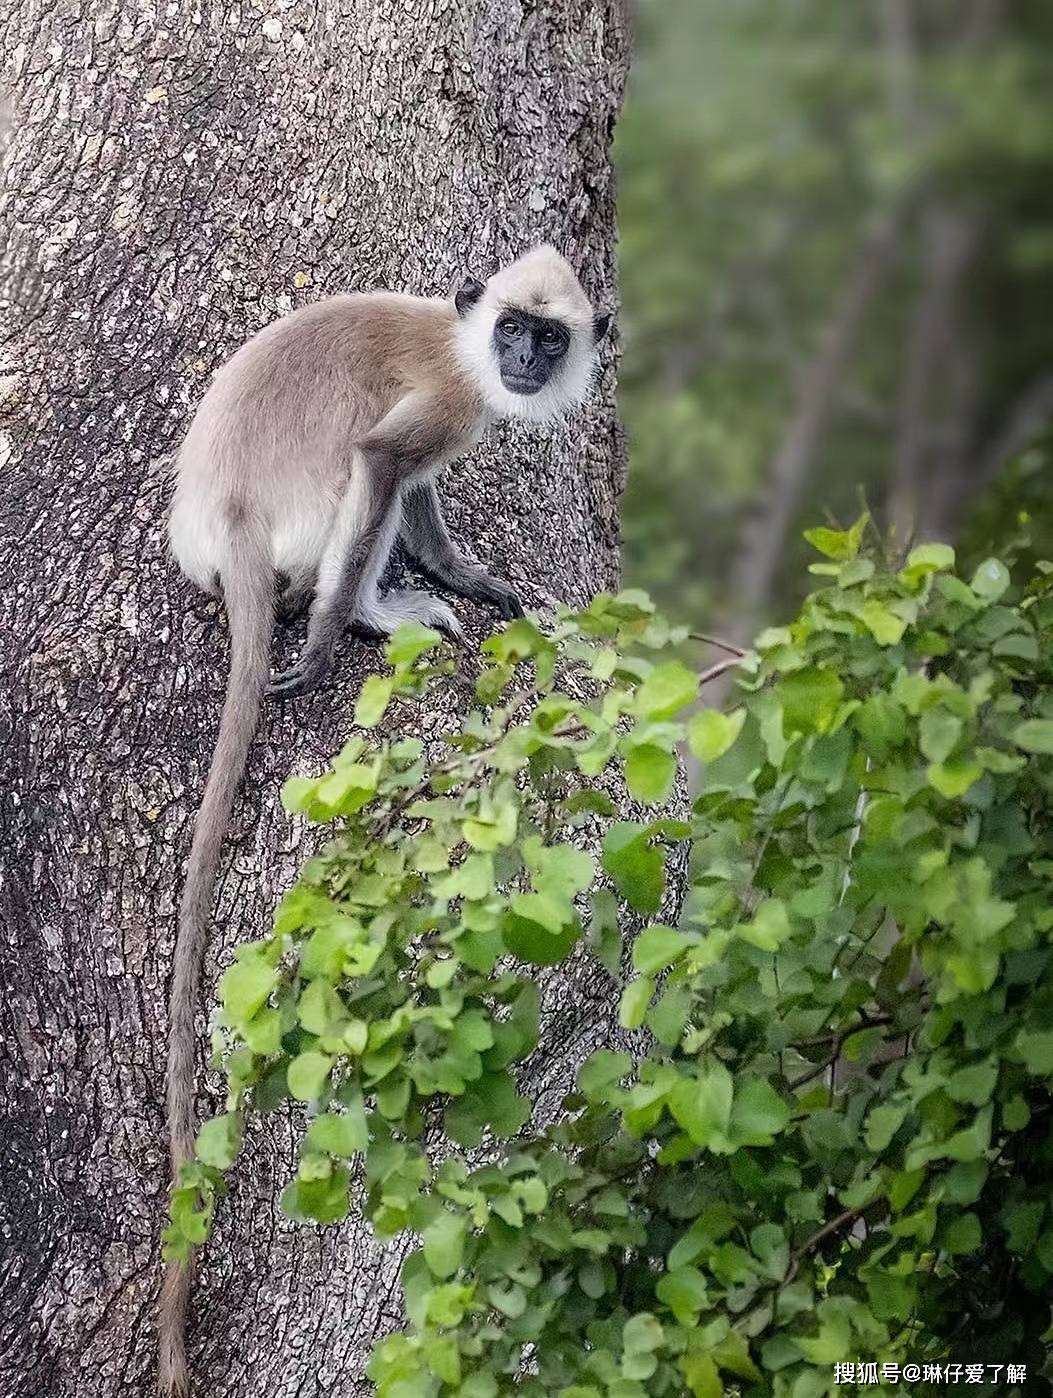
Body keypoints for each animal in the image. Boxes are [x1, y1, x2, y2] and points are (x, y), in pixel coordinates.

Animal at [160, 246, 612, 1392]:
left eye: (550, 336)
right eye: (513, 331)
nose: (523, 361)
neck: (463, 343)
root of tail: (227, 511)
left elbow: (421, 495)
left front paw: (468, 572)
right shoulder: (452, 401)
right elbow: (386, 462)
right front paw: (329, 642)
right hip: (307, 515)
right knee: (362, 480)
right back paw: (361, 614)